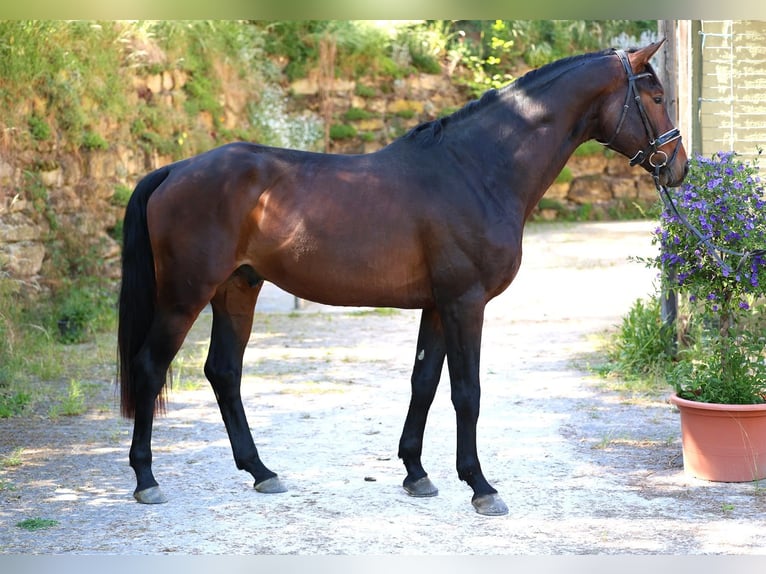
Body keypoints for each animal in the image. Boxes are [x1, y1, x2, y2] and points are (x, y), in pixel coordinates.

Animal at [117, 40, 688, 516]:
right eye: (657, 96)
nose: (678, 167)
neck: (476, 170)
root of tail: (174, 170)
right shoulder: (464, 303)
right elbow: (466, 392)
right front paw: (481, 487)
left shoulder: (437, 305)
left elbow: (424, 383)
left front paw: (416, 473)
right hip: (184, 296)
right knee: (149, 367)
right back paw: (147, 480)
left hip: (238, 288)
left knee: (224, 372)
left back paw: (261, 472)